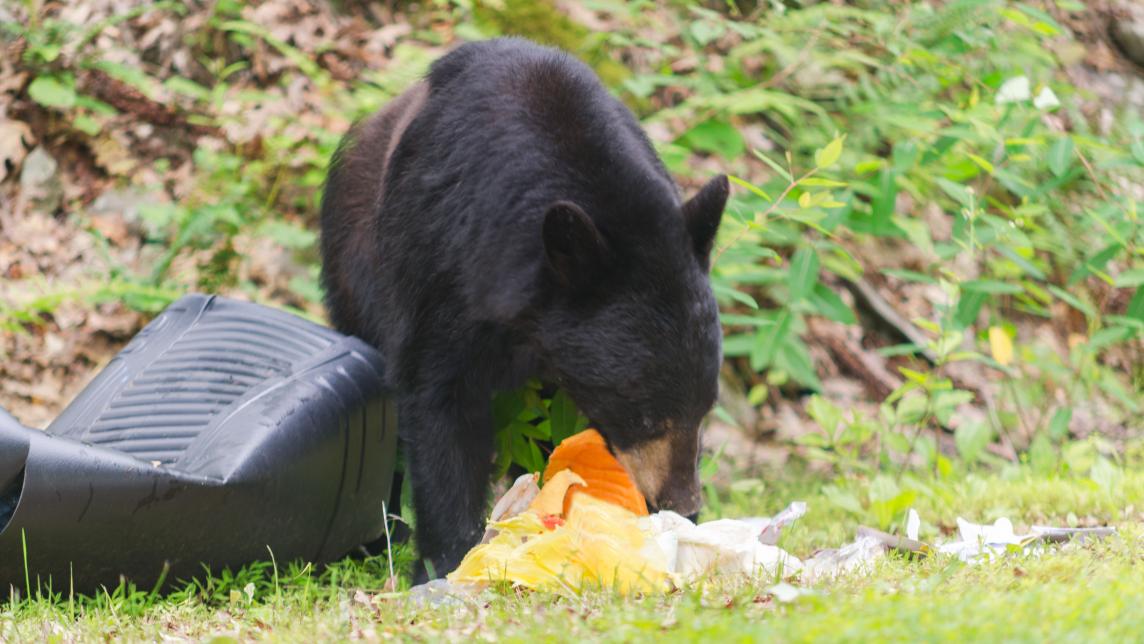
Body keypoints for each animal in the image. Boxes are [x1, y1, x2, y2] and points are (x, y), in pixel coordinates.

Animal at [320, 37, 728, 580]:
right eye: (643, 415)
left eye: (706, 406)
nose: (683, 504)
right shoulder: (441, 266)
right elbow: (438, 401)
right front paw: (448, 559)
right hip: (354, 269)